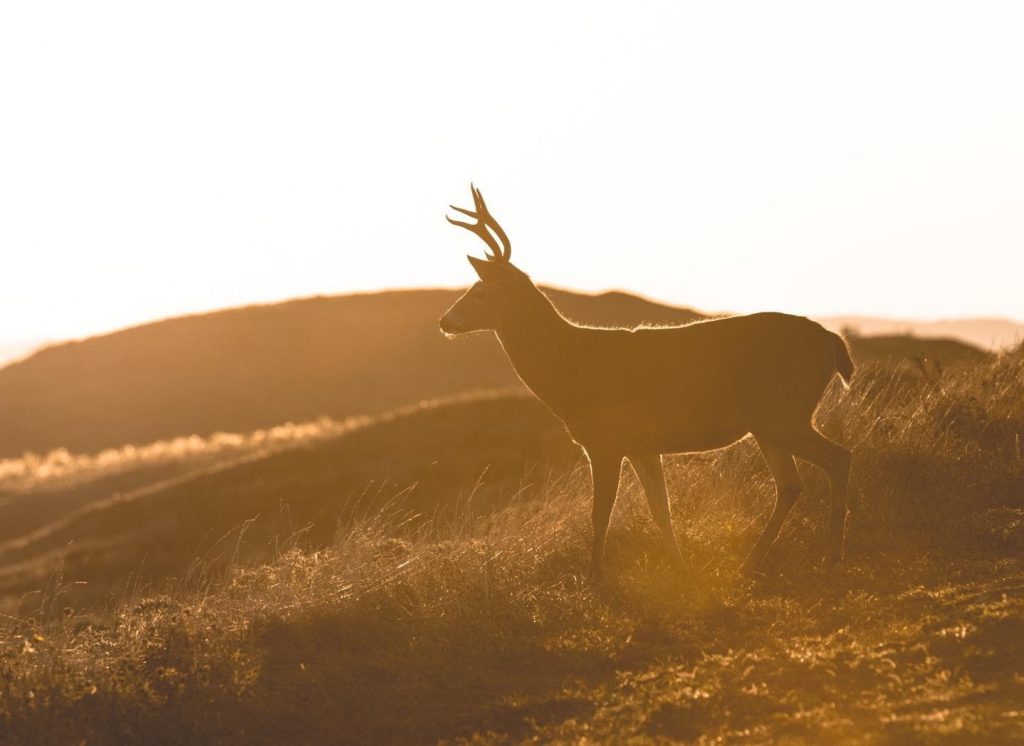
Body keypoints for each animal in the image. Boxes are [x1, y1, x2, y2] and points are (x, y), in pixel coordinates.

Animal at [439, 185, 854, 594]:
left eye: (480, 291)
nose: (445, 321)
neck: (569, 369)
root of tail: (832, 342)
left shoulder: (605, 440)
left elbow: (600, 512)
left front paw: (594, 578)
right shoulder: (642, 445)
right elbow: (661, 511)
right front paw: (681, 572)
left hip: (784, 413)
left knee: (839, 458)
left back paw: (831, 558)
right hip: (769, 423)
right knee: (791, 483)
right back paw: (750, 563)